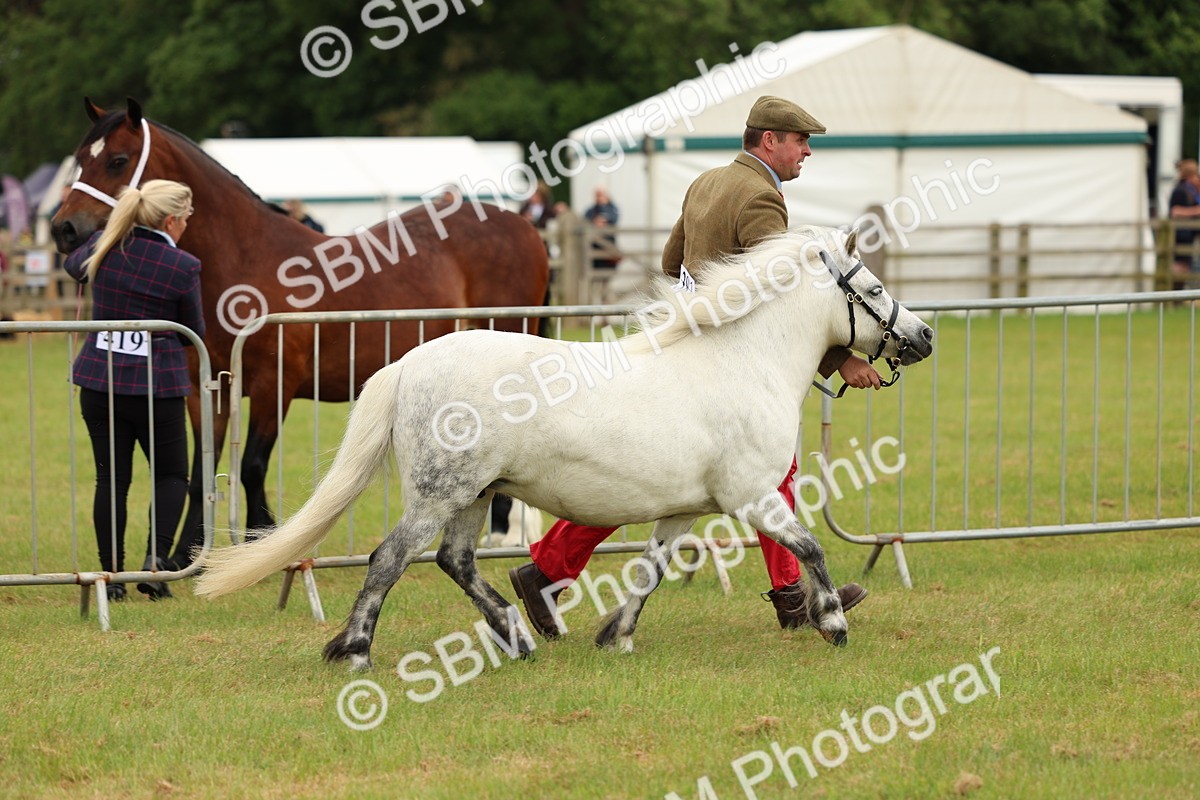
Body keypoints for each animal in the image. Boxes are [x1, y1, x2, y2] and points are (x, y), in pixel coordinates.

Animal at [51, 98, 550, 567]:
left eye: (117, 160)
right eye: (79, 158)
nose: (63, 229)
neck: (245, 261)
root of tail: (523, 225)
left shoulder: (274, 386)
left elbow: (251, 466)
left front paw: (263, 545)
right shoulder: (204, 387)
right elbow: (201, 469)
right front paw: (183, 558)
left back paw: (507, 534)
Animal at [193, 225, 934, 668]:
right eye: (873, 289)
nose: (923, 337)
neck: (741, 360)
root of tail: (407, 365)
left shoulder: (682, 511)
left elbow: (651, 570)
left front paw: (617, 635)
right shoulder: (753, 495)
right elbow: (808, 547)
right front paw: (832, 620)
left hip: (474, 495)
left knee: (456, 562)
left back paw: (519, 635)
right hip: (438, 494)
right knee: (388, 560)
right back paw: (355, 650)